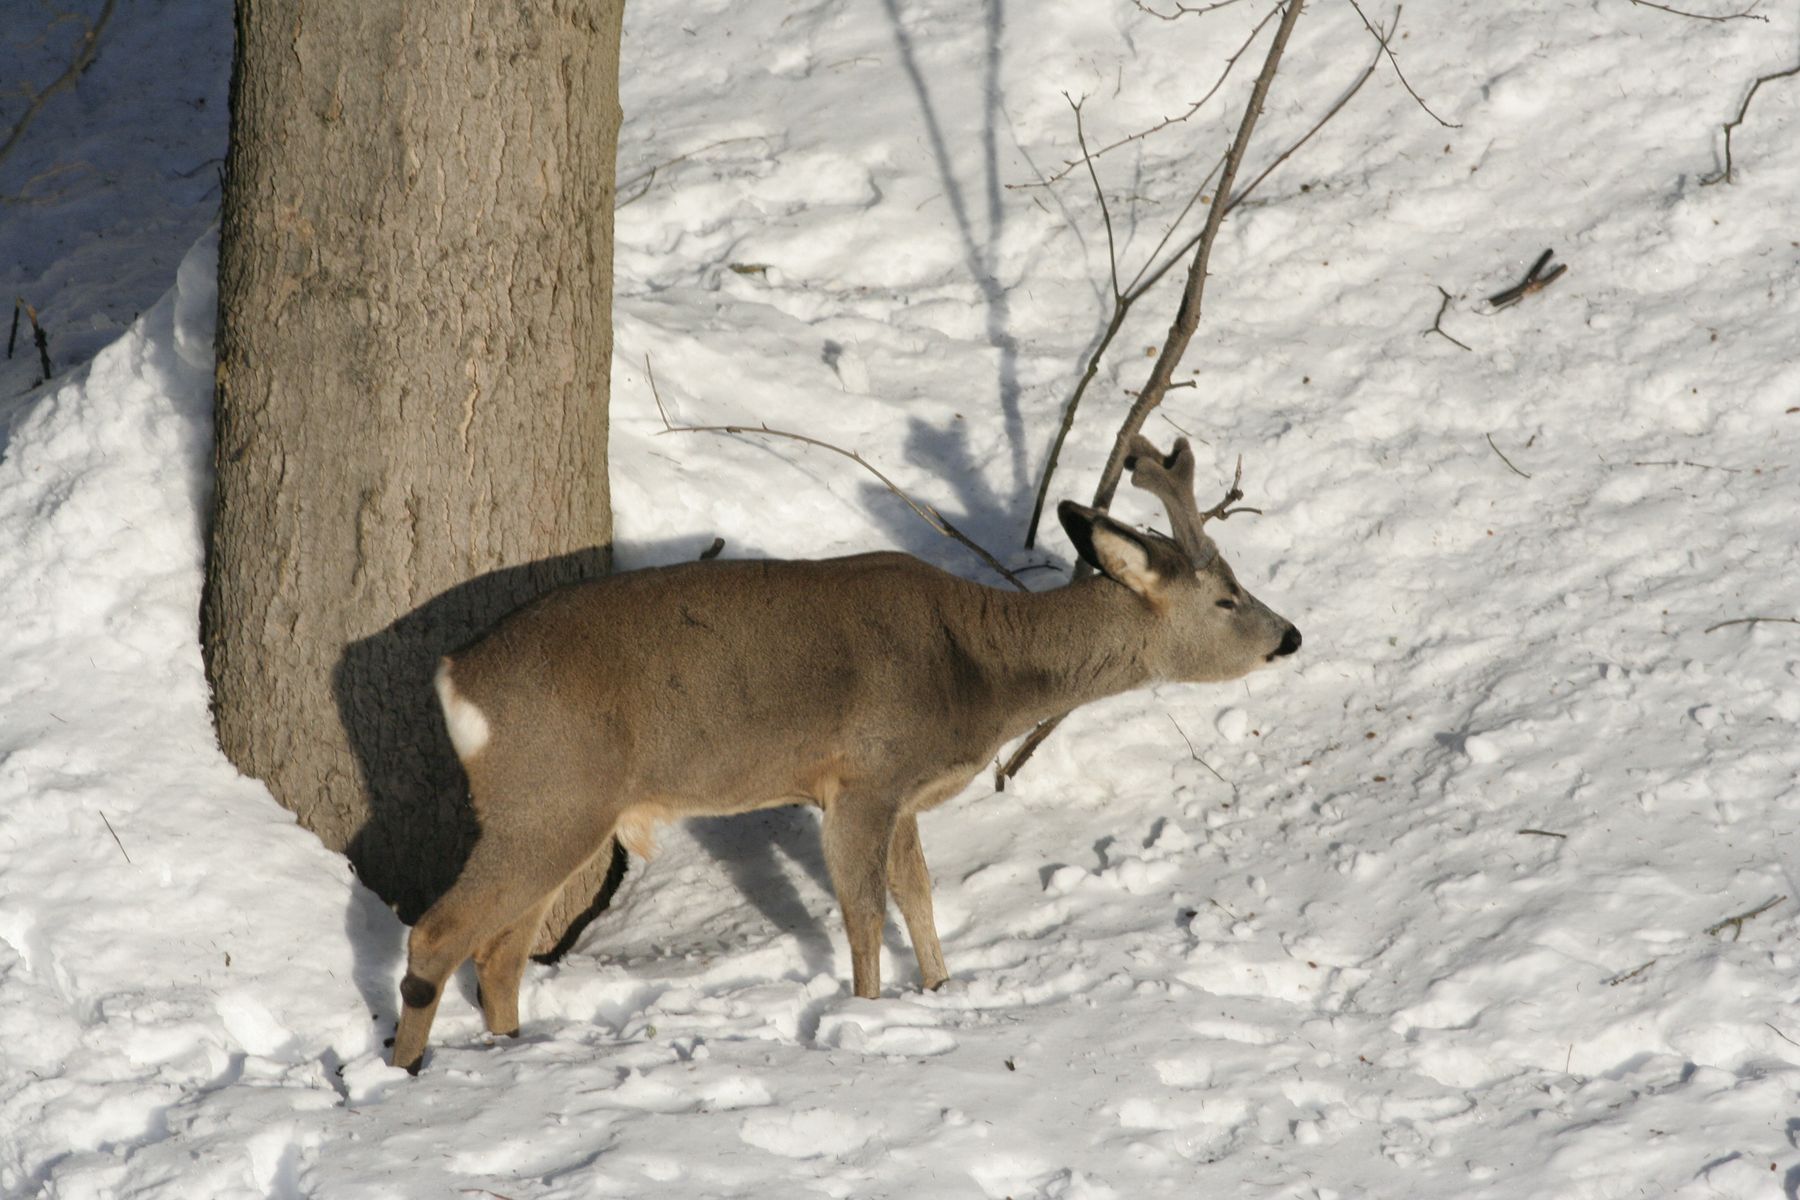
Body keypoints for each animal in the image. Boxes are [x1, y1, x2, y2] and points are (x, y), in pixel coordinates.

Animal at [390, 437, 1296, 1072]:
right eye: (1227, 598)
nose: (1288, 635)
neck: (978, 668)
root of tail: (455, 677)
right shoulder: (863, 776)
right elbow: (863, 911)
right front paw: (870, 1016)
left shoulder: (903, 793)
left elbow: (919, 897)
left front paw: (940, 993)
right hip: (550, 796)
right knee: (438, 936)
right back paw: (406, 1072)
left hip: (560, 810)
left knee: (498, 951)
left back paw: (513, 1050)